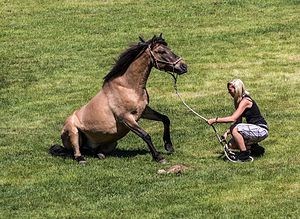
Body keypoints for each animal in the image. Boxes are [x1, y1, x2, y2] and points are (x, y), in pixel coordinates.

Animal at [49, 33, 188, 164]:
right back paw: (81, 159)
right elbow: (145, 135)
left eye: (169, 49)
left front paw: (169, 146)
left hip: (112, 143)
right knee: (76, 151)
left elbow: (165, 119)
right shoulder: (126, 118)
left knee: (94, 151)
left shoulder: (144, 111)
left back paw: (100, 154)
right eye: (162, 51)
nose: (184, 66)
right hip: (73, 131)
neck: (128, 87)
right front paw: (159, 157)